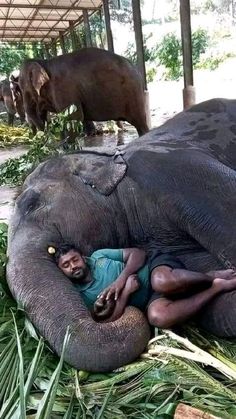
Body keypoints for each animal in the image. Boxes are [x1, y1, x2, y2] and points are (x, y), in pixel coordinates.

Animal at [18, 47, 148, 136]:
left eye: (23, 87)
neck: (44, 62)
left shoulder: (63, 89)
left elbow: (72, 116)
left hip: (133, 93)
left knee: (140, 124)